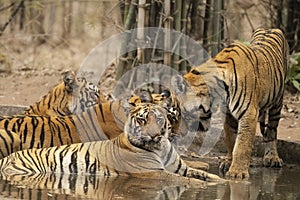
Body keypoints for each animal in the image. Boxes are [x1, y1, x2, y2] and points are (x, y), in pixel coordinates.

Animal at [0, 102, 223, 182]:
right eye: (142, 120)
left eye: (160, 119)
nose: (153, 135)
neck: (160, 147)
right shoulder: (153, 172)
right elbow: (186, 180)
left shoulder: (179, 167)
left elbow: (203, 174)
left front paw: (221, 179)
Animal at [172, 27, 290, 178]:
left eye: (181, 112)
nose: (175, 133)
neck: (218, 93)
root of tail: (269, 28)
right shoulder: (228, 115)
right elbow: (231, 139)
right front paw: (228, 162)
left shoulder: (249, 114)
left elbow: (242, 145)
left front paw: (237, 172)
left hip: (278, 102)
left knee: (271, 131)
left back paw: (272, 157)